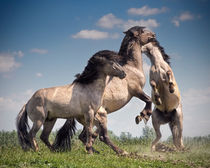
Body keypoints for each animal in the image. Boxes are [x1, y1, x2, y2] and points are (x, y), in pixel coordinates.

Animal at [53, 25, 157, 154]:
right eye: (143, 31)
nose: (154, 35)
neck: (131, 67)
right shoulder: (136, 91)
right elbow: (148, 99)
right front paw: (143, 116)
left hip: (91, 121)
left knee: (85, 135)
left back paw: (95, 151)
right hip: (101, 117)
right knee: (101, 136)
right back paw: (120, 152)